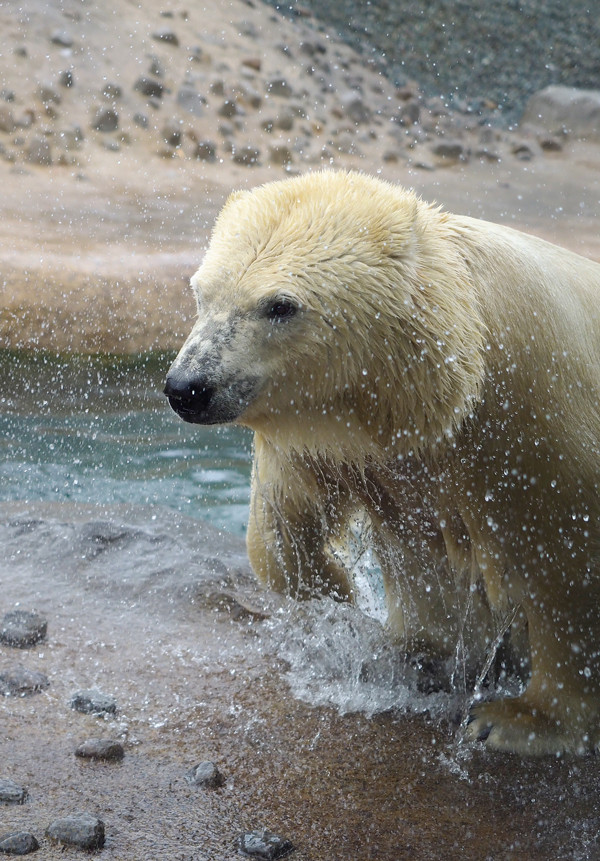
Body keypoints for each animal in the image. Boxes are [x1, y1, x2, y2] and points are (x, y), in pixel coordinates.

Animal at [165, 171, 600, 756]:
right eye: (201, 292)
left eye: (279, 305)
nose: (188, 387)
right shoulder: (339, 440)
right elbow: (288, 517)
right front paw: (351, 609)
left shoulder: (536, 408)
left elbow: (564, 562)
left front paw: (520, 719)